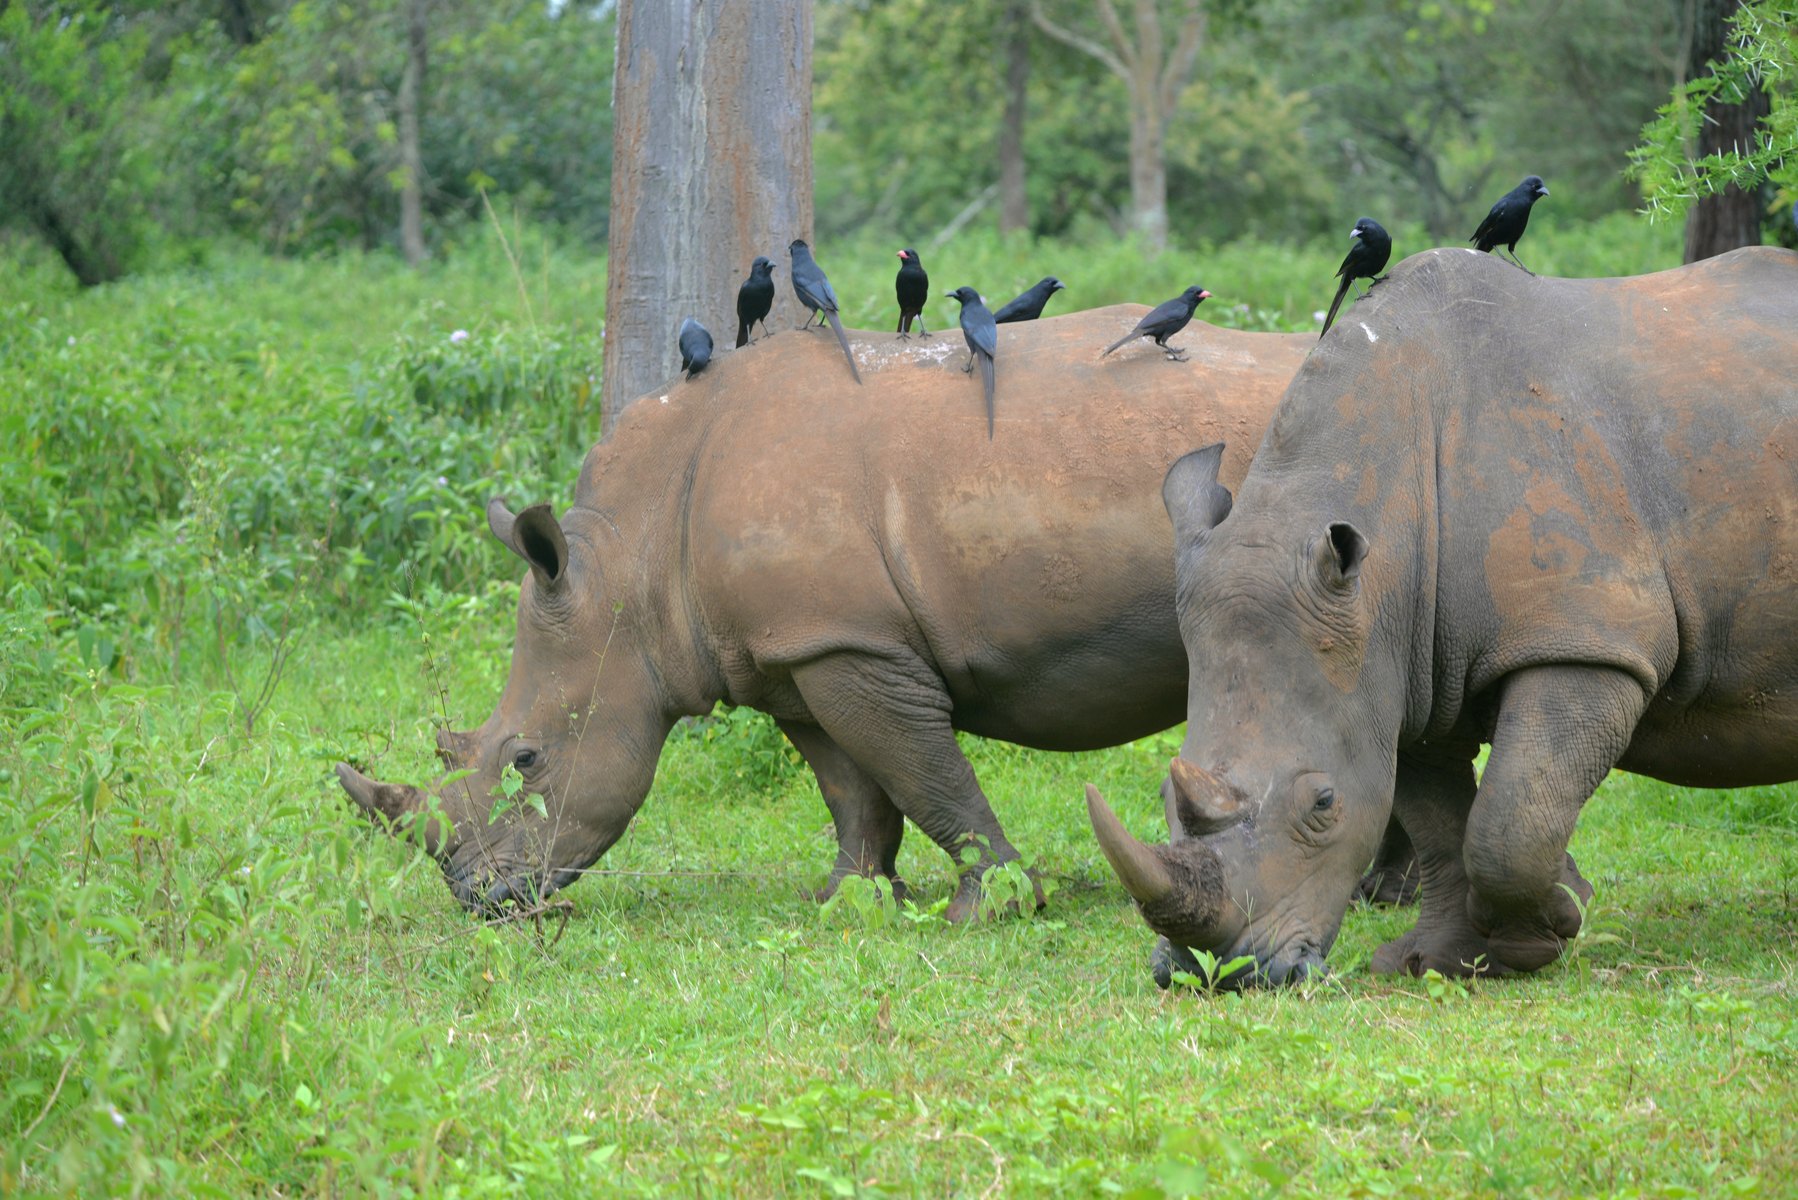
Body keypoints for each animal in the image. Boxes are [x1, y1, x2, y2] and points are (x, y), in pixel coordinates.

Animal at [336, 307, 1311, 919]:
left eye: (527, 758)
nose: (477, 900)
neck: (631, 568)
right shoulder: (794, 651)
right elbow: (856, 793)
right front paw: (849, 904)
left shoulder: (852, 645)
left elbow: (928, 778)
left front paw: (991, 908)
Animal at [1086, 246, 1798, 984]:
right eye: (1162, 799)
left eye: (1323, 804)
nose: (1217, 974)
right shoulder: (1401, 669)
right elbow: (1440, 825)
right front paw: (1441, 960)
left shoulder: (1588, 640)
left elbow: (1509, 820)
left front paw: (1554, 920)